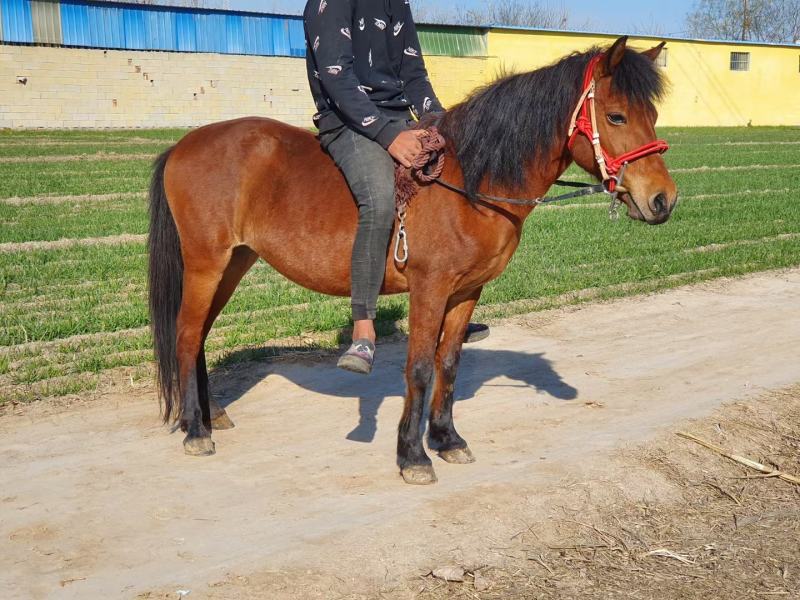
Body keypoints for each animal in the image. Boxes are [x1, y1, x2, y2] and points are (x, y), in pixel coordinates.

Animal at [148, 36, 677, 485]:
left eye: (652, 113)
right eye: (615, 116)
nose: (663, 200)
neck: (469, 181)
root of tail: (182, 145)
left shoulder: (466, 292)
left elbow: (449, 362)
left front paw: (446, 438)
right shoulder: (430, 288)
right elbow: (420, 367)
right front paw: (413, 455)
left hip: (234, 263)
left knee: (199, 336)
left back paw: (212, 415)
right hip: (206, 263)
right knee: (187, 334)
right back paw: (196, 430)